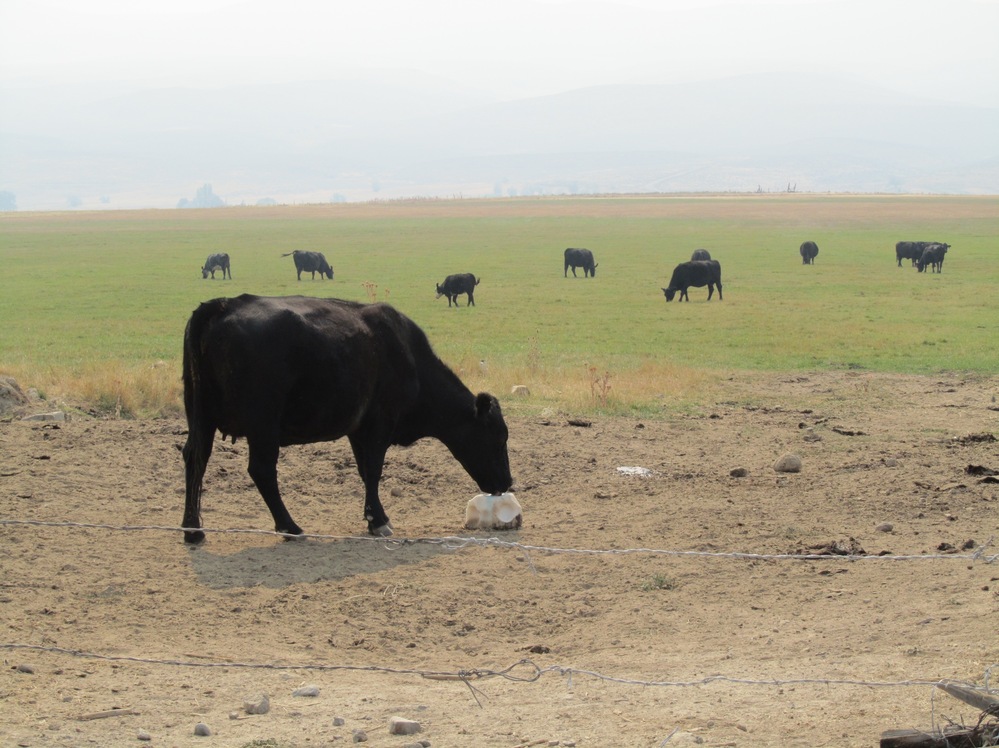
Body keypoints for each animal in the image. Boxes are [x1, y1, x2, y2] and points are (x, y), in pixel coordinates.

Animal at [181, 294, 513, 543]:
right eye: (498, 439)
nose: (508, 482)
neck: (409, 357)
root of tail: (224, 304)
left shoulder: (358, 429)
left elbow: (365, 471)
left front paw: (373, 516)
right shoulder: (380, 423)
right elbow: (374, 470)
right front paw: (378, 521)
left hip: (201, 417)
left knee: (195, 458)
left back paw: (193, 529)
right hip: (263, 425)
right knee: (261, 470)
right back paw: (290, 527)